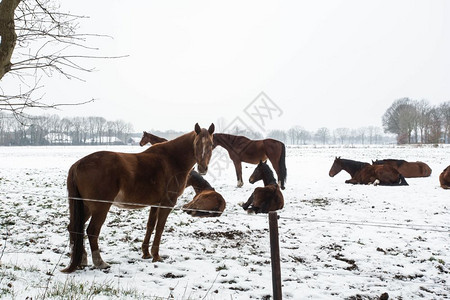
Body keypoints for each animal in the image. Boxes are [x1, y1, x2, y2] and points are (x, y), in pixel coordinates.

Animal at [62, 123, 215, 274]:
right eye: (196, 143)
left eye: (211, 144)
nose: (203, 168)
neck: (172, 159)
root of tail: (77, 165)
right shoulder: (167, 203)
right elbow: (159, 228)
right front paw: (156, 256)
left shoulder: (155, 204)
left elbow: (150, 226)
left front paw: (146, 253)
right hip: (100, 207)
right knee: (92, 231)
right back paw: (100, 262)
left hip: (85, 206)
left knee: (74, 227)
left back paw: (81, 259)